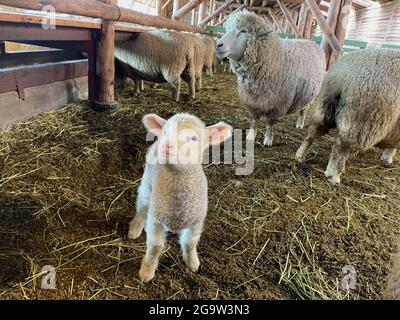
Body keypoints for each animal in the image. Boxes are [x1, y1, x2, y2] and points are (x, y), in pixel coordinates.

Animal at [128, 112, 233, 282]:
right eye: (165, 132)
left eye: (194, 138)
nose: (166, 145)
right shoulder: (156, 220)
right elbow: (155, 248)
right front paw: (146, 272)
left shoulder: (196, 222)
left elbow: (190, 244)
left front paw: (193, 264)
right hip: (147, 182)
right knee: (143, 205)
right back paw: (135, 227)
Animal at [216, 10, 324, 146]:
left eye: (243, 31)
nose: (218, 44)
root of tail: (311, 42)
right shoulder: (253, 101)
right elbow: (254, 120)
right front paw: (251, 135)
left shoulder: (277, 105)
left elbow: (270, 124)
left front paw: (268, 139)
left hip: (309, 94)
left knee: (303, 111)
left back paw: (300, 124)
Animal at [296, 48, 400, 186]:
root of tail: (343, 76)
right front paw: (388, 158)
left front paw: (386, 157)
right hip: (362, 120)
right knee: (341, 146)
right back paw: (334, 176)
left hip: (323, 110)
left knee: (312, 134)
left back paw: (300, 156)